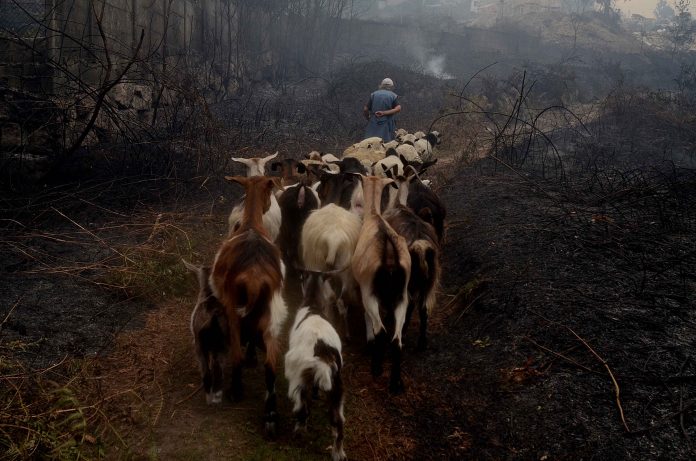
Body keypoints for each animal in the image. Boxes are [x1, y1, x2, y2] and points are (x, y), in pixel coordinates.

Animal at [211, 174, 290, 434]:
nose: (269, 204)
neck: (251, 225)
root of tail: (255, 278)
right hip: (271, 318)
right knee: (271, 367)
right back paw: (271, 417)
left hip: (234, 315)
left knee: (236, 356)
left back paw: (236, 391)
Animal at [284, 270, 346, 460]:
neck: (313, 307)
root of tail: (323, 357)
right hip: (337, 388)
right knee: (338, 421)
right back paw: (338, 453)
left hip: (299, 380)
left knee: (302, 410)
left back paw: (299, 433)